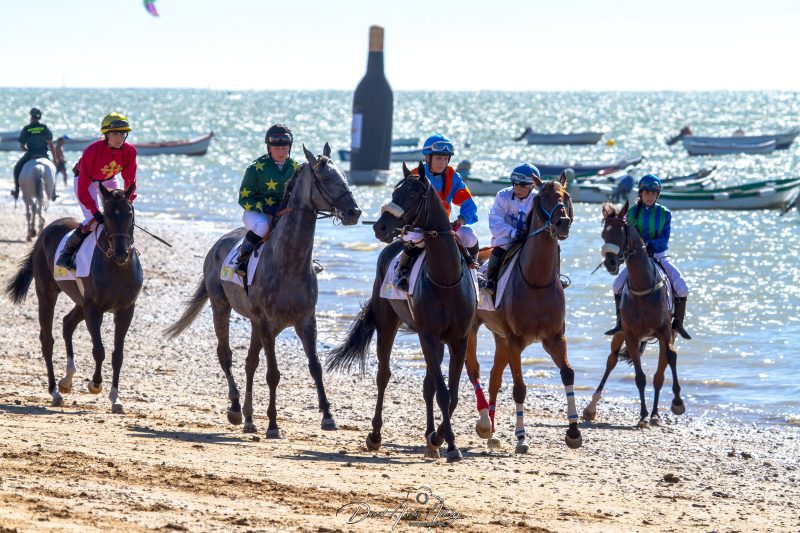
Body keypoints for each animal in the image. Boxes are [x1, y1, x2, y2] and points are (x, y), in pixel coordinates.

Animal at [6, 184, 142, 413]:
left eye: (129, 214)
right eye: (107, 216)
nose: (121, 254)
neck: (116, 268)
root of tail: (45, 231)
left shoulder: (126, 310)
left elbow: (117, 355)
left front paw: (116, 398)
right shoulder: (93, 309)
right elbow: (99, 350)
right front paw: (95, 383)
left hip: (79, 302)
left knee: (67, 323)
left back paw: (66, 380)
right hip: (47, 293)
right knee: (47, 340)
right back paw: (55, 391)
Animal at [165, 144, 361, 437]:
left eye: (344, 176)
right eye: (326, 178)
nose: (354, 212)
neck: (288, 262)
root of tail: (217, 245)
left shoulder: (305, 320)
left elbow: (315, 367)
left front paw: (328, 416)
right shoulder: (268, 323)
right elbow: (273, 374)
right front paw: (273, 424)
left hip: (257, 323)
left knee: (249, 362)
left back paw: (248, 417)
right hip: (222, 308)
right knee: (226, 355)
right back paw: (236, 408)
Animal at [326, 162, 477, 462]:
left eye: (413, 193)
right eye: (395, 191)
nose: (381, 226)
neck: (446, 279)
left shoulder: (459, 339)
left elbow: (451, 393)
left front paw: (441, 438)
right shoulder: (428, 335)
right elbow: (444, 393)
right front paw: (448, 442)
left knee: (428, 385)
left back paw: (430, 439)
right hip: (387, 323)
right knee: (383, 376)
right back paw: (375, 435)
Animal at [465, 174, 583, 452]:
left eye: (566, 196)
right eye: (543, 198)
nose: (562, 222)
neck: (537, 282)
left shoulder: (554, 338)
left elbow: (568, 374)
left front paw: (574, 431)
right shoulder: (516, 341)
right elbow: (519, 388)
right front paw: (521, 436)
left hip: (499, 337)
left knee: (494, 377)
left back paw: (492, 432)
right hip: (474, 328)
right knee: (473, 370)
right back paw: (483, 423)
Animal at [582, 201, 685, 427]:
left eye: (622, 233)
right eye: (604, 234)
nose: (611, 263)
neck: (643, 287)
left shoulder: (665, 332)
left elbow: (670, 359)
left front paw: (677, 403)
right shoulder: (630, 335)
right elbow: (639, 377)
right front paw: (643, 415)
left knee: (660, 374)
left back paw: (656, 414)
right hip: (619, 334)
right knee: (611, 361)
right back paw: (591, 407)